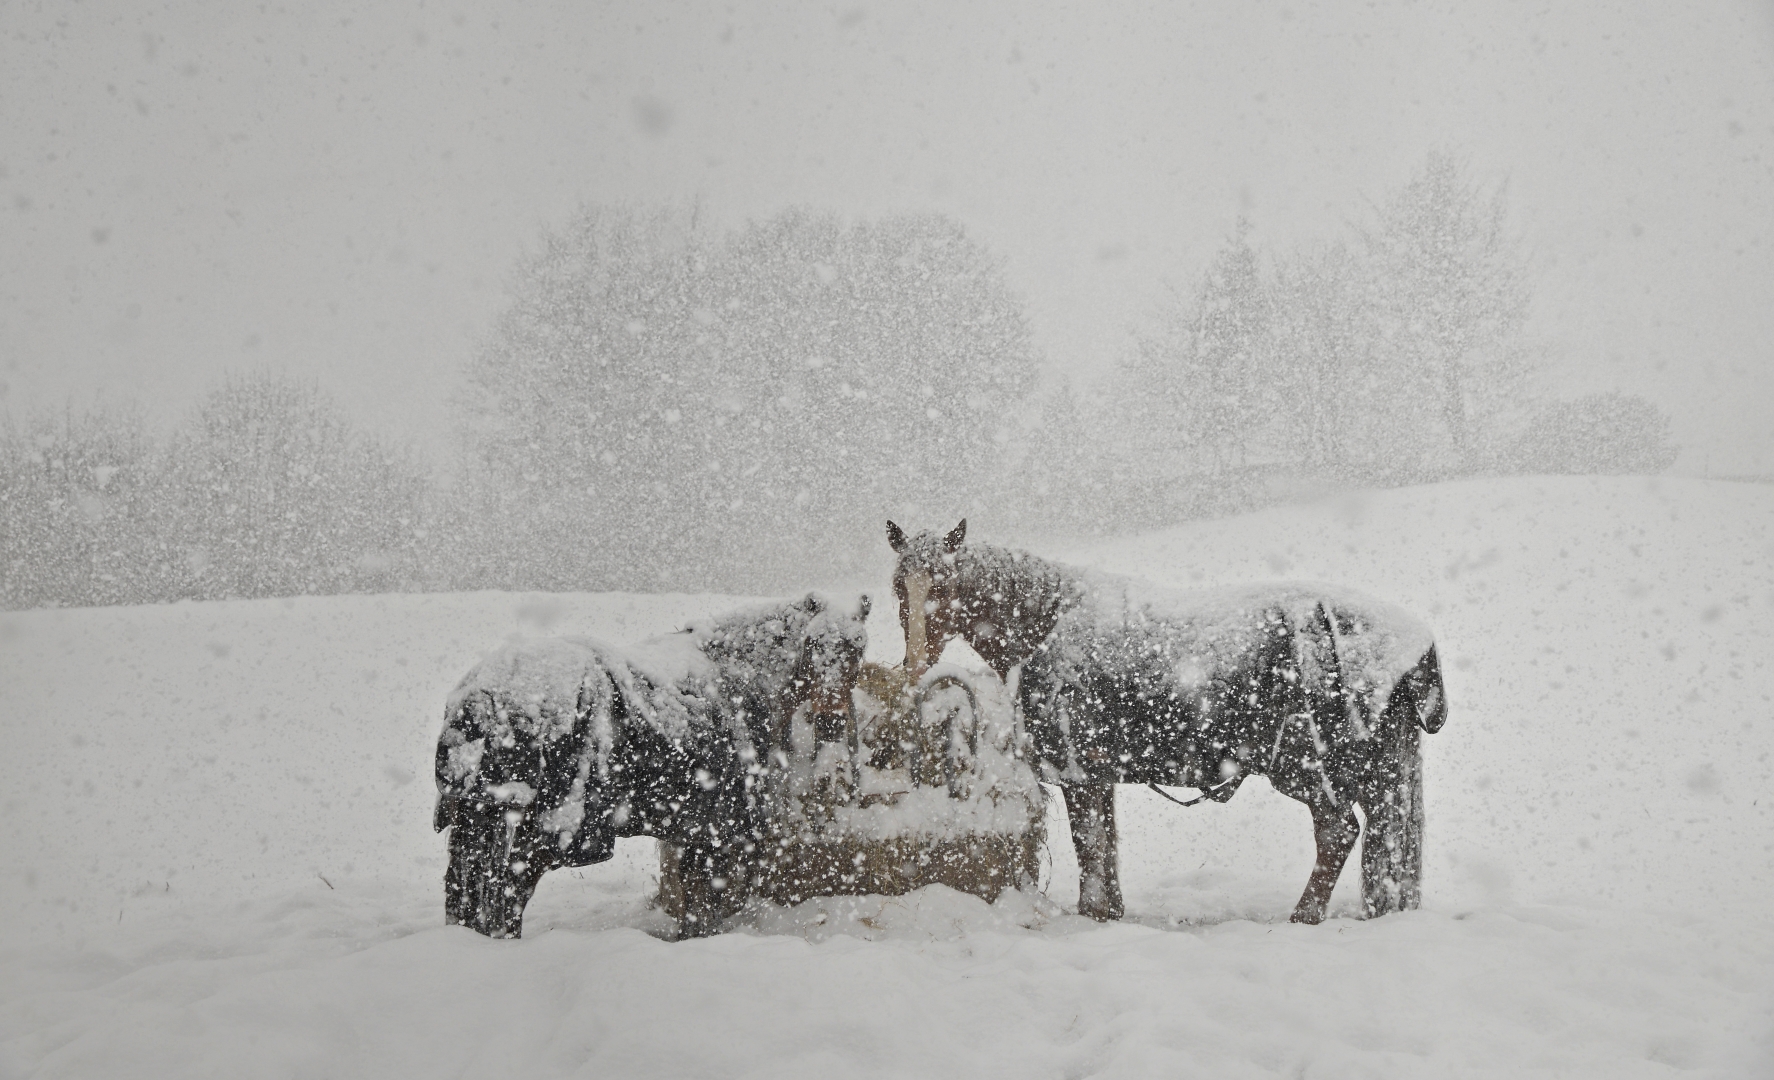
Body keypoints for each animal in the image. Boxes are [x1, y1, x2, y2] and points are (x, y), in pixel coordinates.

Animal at [432, 588, 869, 936]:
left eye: (857, 648)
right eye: (814, 644)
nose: (831, 721)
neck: (742, 678)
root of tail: (485, 693)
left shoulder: (695, 831)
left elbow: (696, 906)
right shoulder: (721, 832)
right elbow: (706, 908)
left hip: (475, 816)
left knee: (465, 894)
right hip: (535, 830)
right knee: (507, 895)